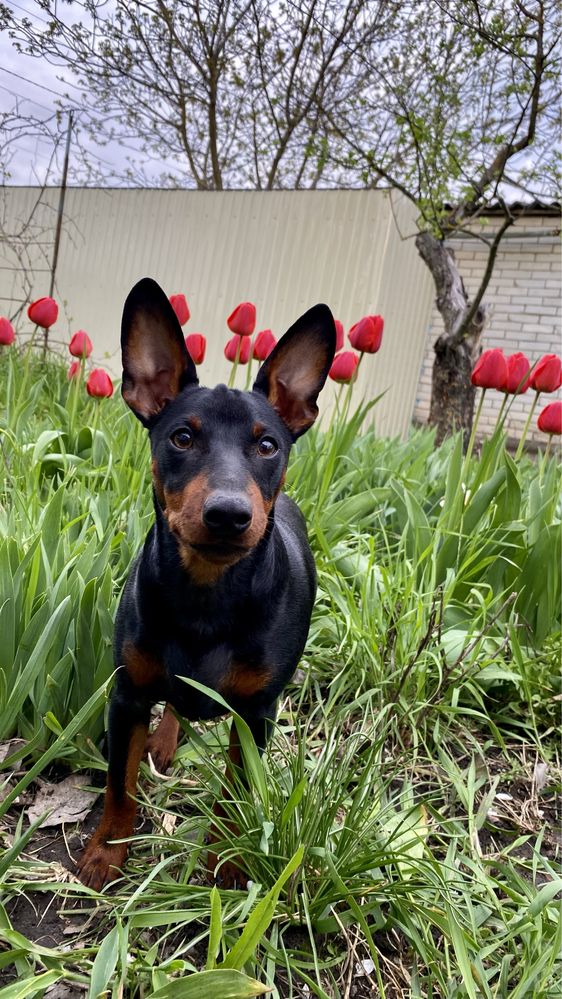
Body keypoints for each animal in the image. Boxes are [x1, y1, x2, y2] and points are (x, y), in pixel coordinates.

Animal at [76, 278, 334, 888]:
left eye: (267, 445)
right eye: (181, 438)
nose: (229, 514)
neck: (207, 596)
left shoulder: (255, 714)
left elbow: (236, 791)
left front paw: (231, 863)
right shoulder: (126, 695)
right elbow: (119, 785)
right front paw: (107, 853)